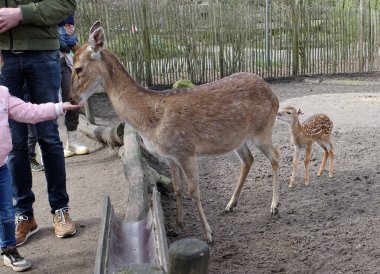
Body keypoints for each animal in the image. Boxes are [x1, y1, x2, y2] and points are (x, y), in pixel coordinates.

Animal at [70, 22, 280, 244]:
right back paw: (231, 204)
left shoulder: (186, 151)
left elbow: (194, 192)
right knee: (248, 160)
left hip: (262, 130)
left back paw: (274, 207)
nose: (72, 98)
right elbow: (178, 189)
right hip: (239, 139)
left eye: (78, 68)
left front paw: (208, 234)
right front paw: (177, 227)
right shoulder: (170, 156)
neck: (150, 122)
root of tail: (273, 94)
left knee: (276, 156)